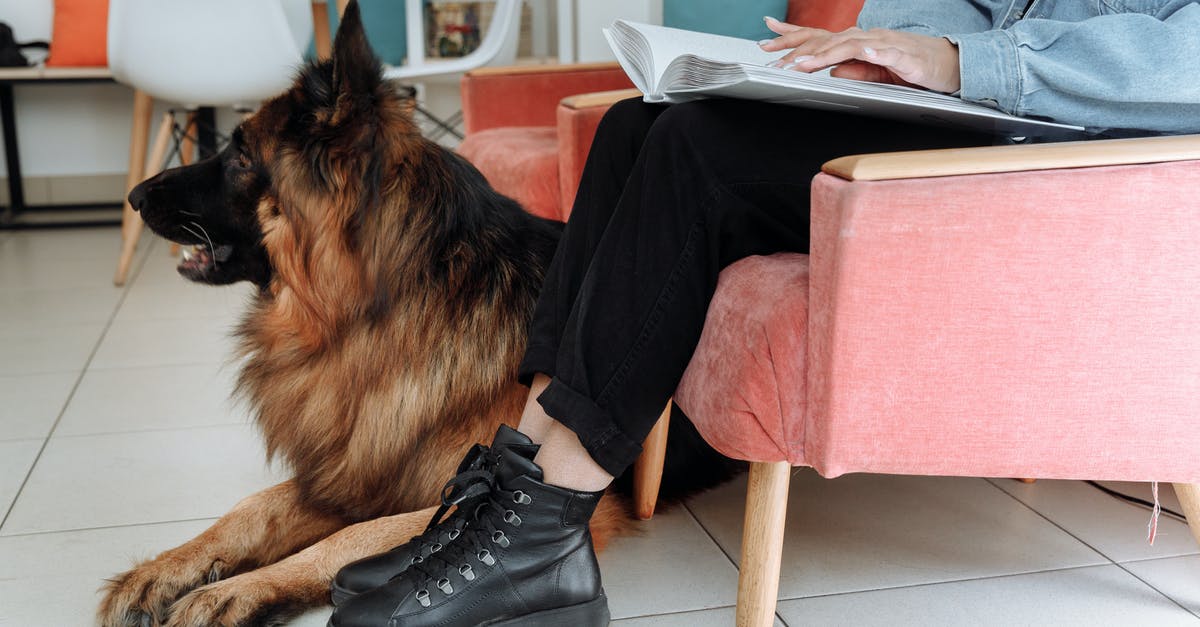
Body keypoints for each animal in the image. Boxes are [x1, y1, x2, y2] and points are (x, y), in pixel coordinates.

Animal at [100, 2, 739, 619]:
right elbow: (253, 507)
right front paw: (169, 566)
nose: (134, 197)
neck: (380, 314)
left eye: (238, 158)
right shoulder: (358, 467)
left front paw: (243, 589)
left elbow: (349, 538)